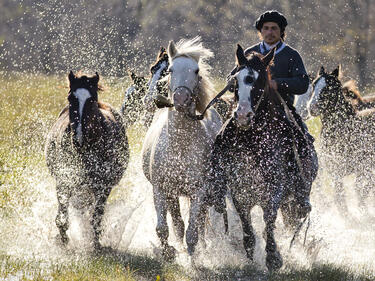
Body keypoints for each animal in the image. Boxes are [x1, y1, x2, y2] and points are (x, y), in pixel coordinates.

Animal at [44, 71, 128, 248]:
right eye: (70, 98)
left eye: (92, 99)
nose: (79, 138)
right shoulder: (64, 181)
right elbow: (62, 219)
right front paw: (64, 242)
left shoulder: (103, 186)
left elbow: (96, 218)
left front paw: (95, 244)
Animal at [141, 36, 223, 260]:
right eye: (171, 69)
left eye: (196, 71)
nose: (180, 99)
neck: (179, 147)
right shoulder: (160, 189)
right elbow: (164, 228)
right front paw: (169, 252)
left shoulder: (199, 193)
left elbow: (193, 232)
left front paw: (195, 259)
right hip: (172, 194)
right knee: (177, 221)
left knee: (200, 224)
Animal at [209, 44, 318, 270]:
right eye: (235, 80)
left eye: (258, 81)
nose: (242, 116)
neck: (254, 141)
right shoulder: (239, 191)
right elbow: (247, 225)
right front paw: (251, 255)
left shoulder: (274, 189)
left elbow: (269, 219)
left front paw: (274, 257)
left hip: (297, 198)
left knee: (293, 220)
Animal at [308, 66, 375, 213]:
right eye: (314, 84)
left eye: (329, 87)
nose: (312, 108)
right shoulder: (335, 172)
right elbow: (340, 200)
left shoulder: (362, 171)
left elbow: (360, 194)